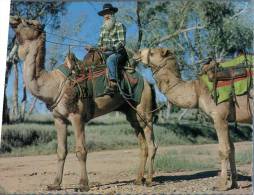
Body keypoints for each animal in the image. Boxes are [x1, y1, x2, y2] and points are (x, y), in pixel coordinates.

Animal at [9, 15, 157, 192]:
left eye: (29, 22)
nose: (14, 18)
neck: (54, 84)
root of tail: (148, 82)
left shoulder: (77, 116)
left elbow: (81, 150)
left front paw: (82, 184)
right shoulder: (59, 119)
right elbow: (61, 151)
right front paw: (55, 184)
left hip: (144, 110)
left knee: (151, 142)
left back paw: (149, 180)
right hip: (131, 113)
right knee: (142, 143)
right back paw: (137, 180)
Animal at [134, 47, 253, 190]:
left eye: (152, 53)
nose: (137, 53)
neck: (197, 89)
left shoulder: (219, 116)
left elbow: (224, 150)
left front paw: (221, 185)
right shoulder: (224, 119)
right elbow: (232, 148)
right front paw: (234, 184)